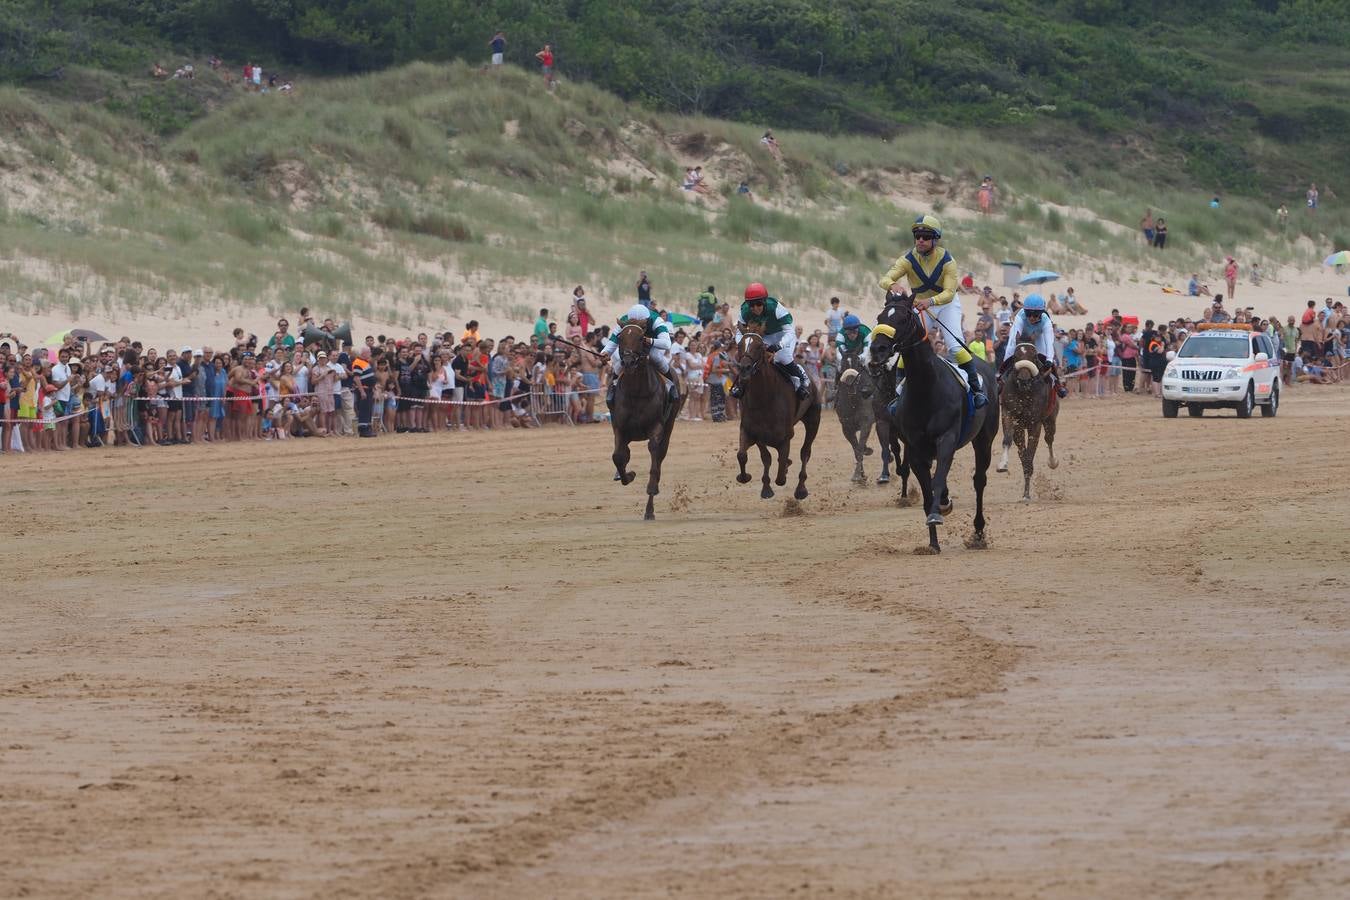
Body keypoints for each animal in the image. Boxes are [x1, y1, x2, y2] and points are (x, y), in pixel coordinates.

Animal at [607, 323, 680, 520]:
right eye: (620, 337)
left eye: (641, 338)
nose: (628, 362)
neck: (637, 392)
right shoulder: (620, 428)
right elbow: (618, 456)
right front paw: (628, 475)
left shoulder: (656, 427)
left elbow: (654, 457)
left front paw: (651, 490)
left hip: (669, 425)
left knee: (660, 456)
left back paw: (650, 507)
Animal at [729, 330, 820, 499]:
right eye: (739, 346)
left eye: (759, 346)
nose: (745, 368)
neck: (764, 398)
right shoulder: (752, 432)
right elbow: (748, 456)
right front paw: (761, 486)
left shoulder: (785, 437)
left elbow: (780, 475)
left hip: (813, 419)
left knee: (805, 452)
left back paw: (801, 489)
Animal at [831, 348, 874, 485]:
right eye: (843, 365)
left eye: (858, 364)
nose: (850, 382)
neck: (853, 401)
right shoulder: (847, 427)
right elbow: (856, 450)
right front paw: (861, 475)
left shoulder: (866, 422)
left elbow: (859, 448)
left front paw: (857, 475)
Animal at [869, 292, 999, 553]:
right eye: (880, 317)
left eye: (904, 317)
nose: (877, 350)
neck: (926, 389)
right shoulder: (916, 448)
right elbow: (928, 491)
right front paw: (933, 542)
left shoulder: (946, 439)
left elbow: (937, 481)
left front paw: (937, 514)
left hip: (984, 439)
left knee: (979, 480)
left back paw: (978, 532)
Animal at [999, 342, 1058, 504]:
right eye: (1016, 355)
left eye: (1034, 356)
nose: (1024, 380)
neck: (1025, 393)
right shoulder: (1011, 417)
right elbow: (1010, 442)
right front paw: (1002, 464)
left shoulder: (1034, 424)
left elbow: (1030, 454)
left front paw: (1026, 494)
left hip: (1050, 419)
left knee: (1049, 438)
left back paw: (1053, 462)